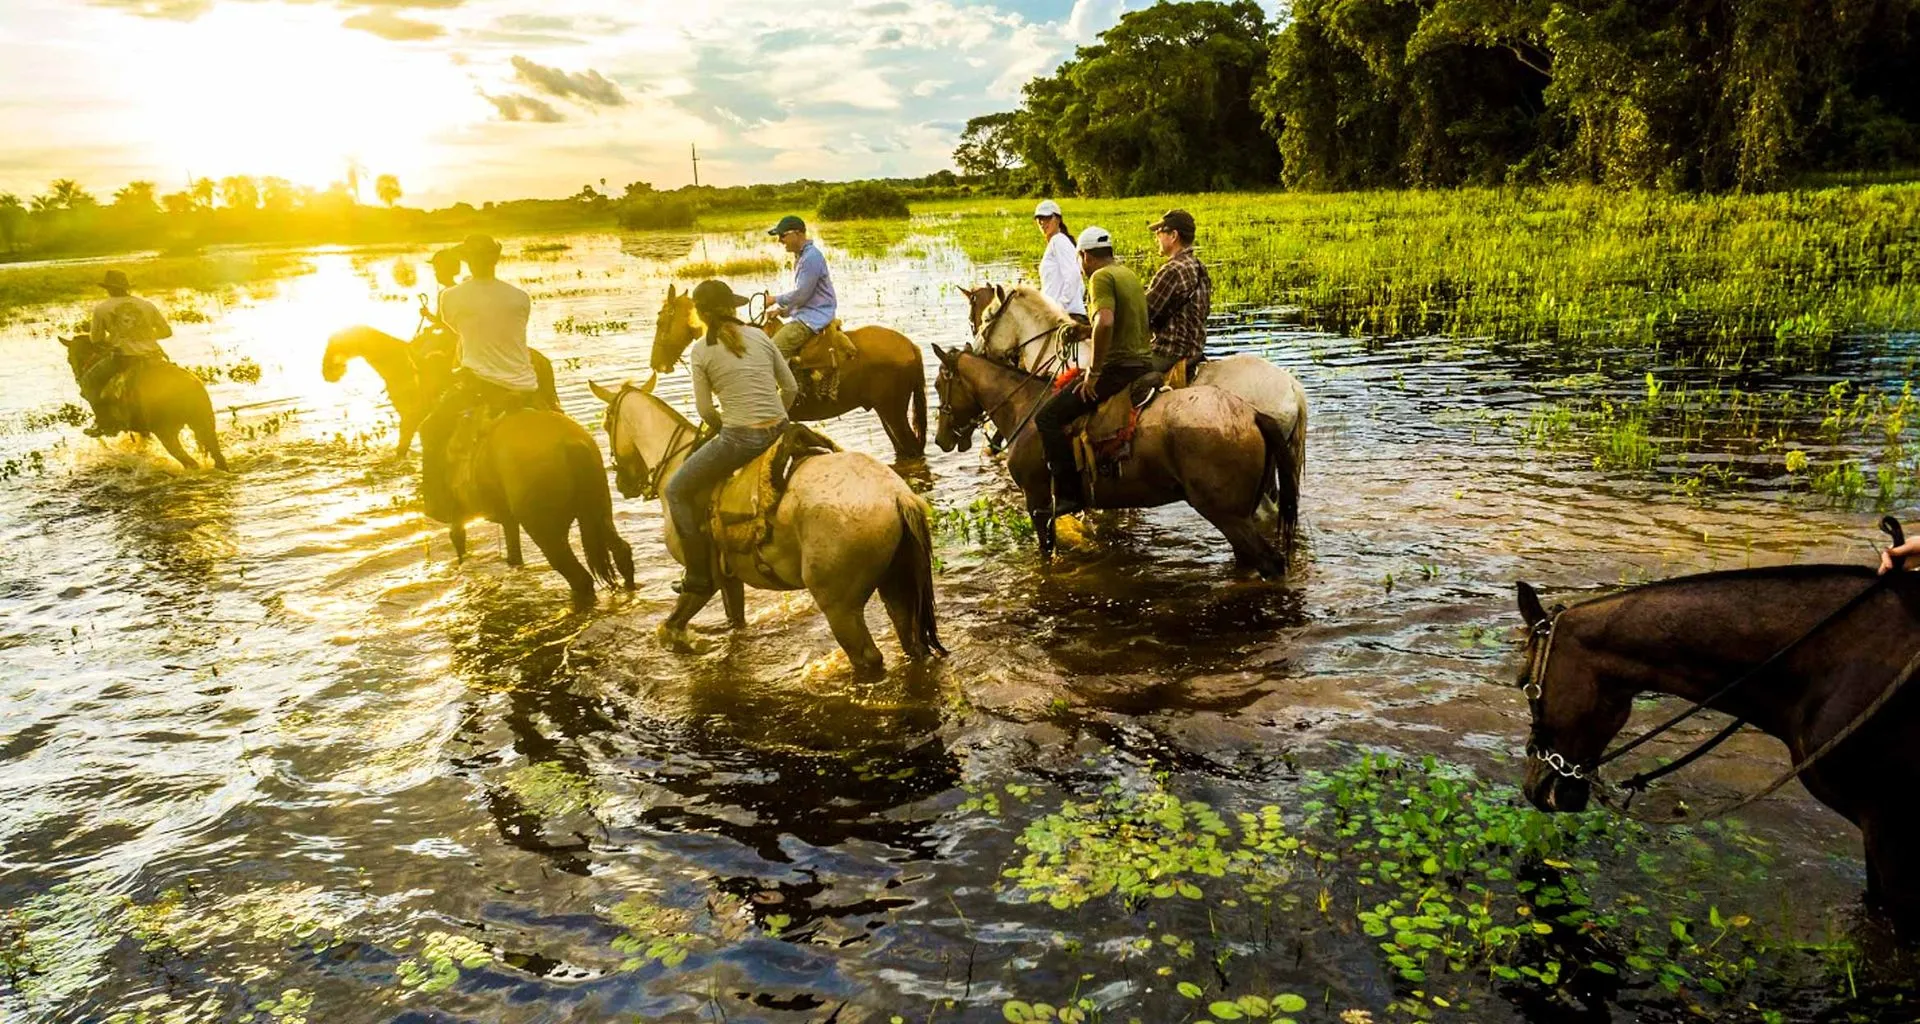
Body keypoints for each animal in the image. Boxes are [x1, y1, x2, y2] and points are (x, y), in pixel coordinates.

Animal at [58, 333, 227, 471]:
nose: (78, 380)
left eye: (68, 359)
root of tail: (186, 386)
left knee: (189, 462)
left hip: (167, 433)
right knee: (217, 456)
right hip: (205, 423)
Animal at [441, 403, 635, 609]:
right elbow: (513, 554)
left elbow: (458, 542)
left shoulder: (458, 514)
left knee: (580, 578)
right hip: (599, 512)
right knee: (621, 552)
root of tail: (571, 444)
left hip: (547, 533)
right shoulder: (506, 519)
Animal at [589, 376, 943, 679]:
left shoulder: (704, 580)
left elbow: (671, 625)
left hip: (840, 605)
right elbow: (734, 619)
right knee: (912, 643)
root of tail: (896, 495)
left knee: (868, 657)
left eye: (607, 422)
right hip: (895, 585)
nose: (622, 485)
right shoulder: (729, 579)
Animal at [931, 345, 1298, 574]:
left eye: (937, 384)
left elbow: (1047, 551)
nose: (941, 439)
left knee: (1269, 562)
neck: (1025, 408)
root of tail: (1252, 414)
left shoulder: (1038, 502)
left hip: (1228, 515)